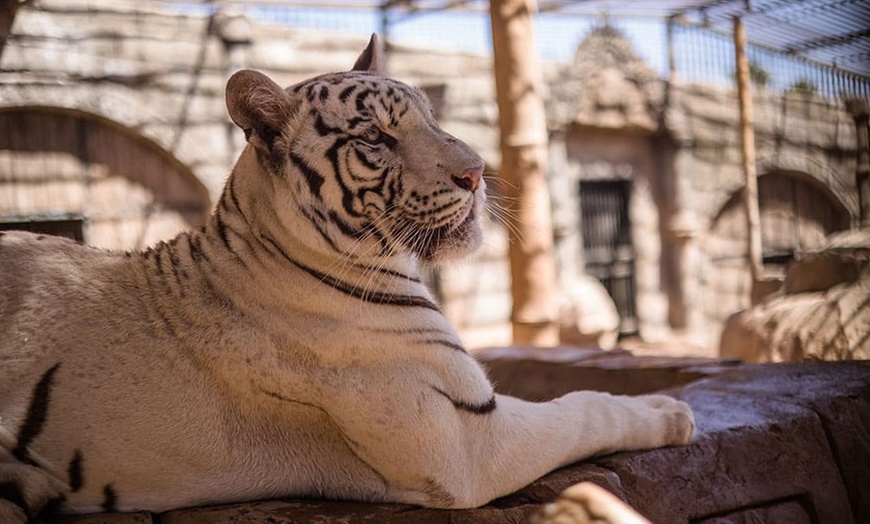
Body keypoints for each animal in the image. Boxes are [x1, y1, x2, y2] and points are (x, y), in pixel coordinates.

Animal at [0, 34, 696, 520]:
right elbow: (583, 408)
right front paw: (670, 411)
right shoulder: (466, 439)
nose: (477, 174)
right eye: (377, 139)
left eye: (432, 119)